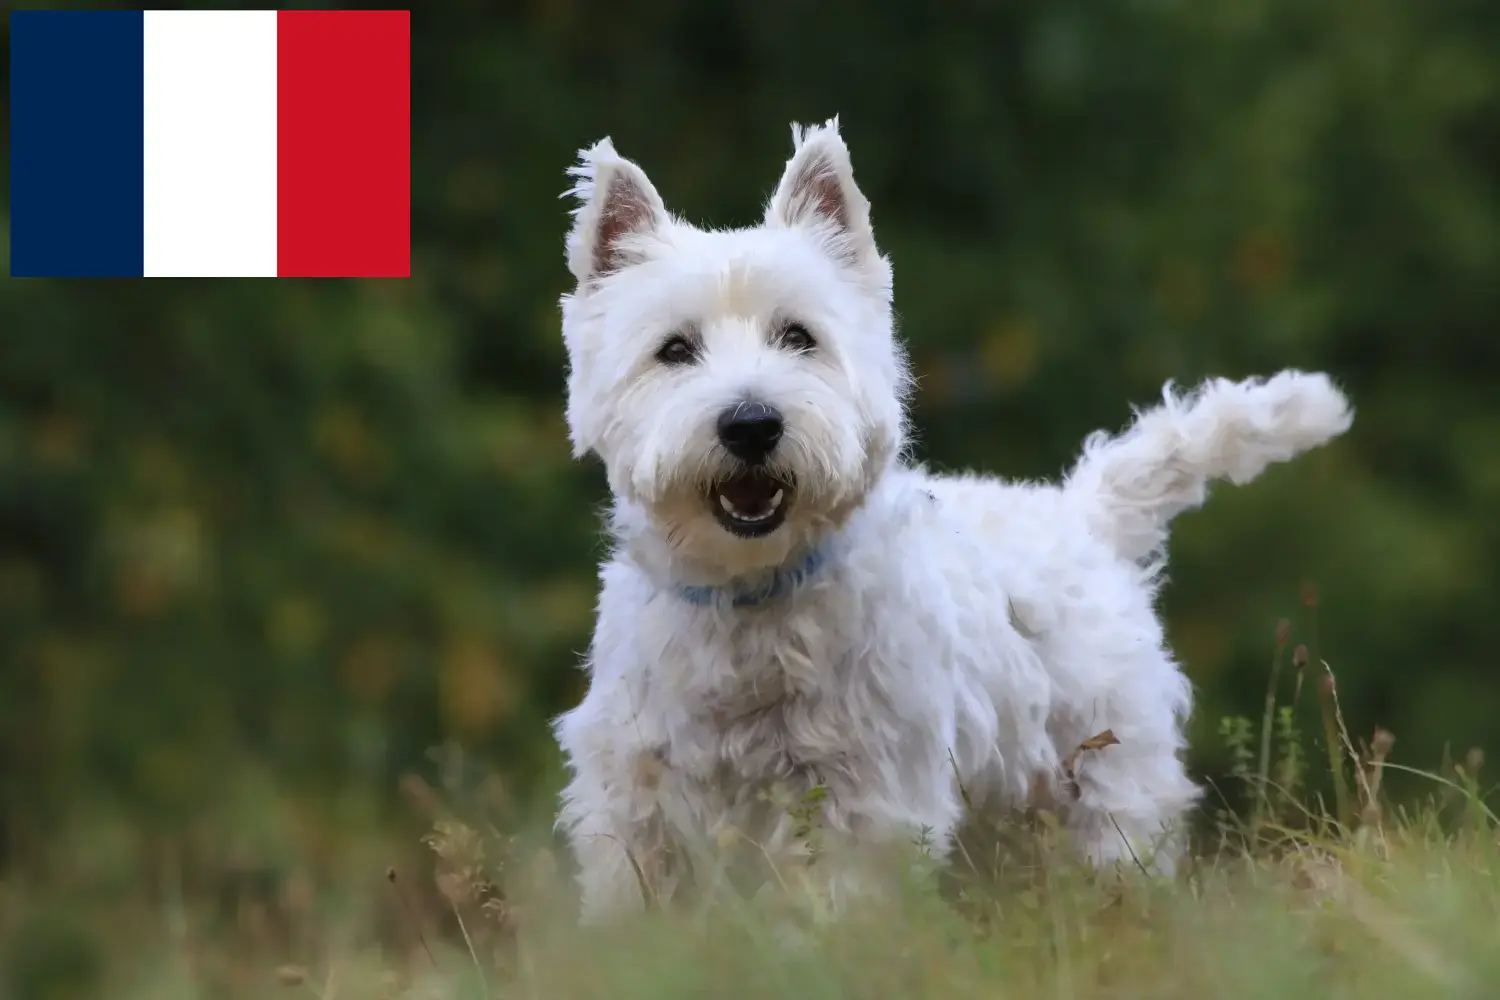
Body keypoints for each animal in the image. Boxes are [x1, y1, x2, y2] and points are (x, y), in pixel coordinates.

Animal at [552, 117, 1362, 923]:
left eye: (799, 336)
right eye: (674, 349)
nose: (751, 424)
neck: (749, 597)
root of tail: (1083, 514)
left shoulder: (865, 792)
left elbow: (841, 908)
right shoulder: (631, 791)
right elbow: (636, 897)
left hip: (1105, 777)